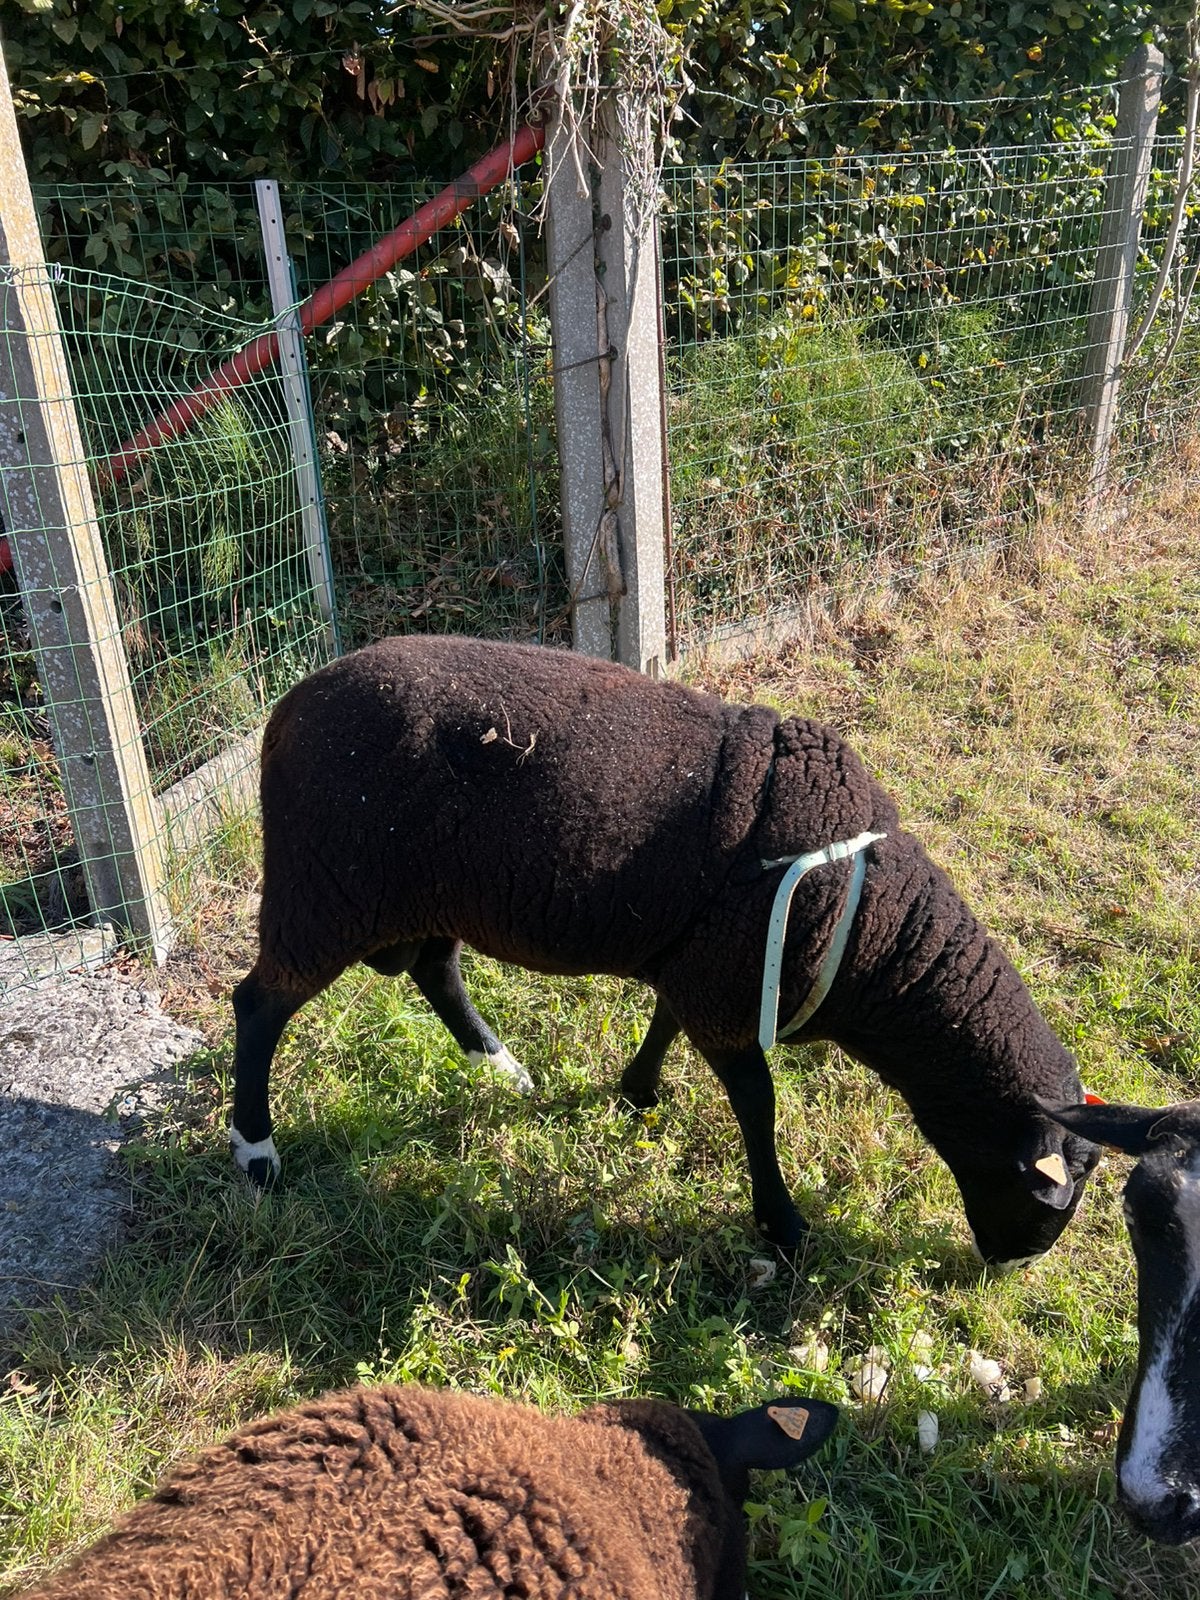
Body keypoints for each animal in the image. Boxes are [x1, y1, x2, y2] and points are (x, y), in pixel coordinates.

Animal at [231, 635, 1100, 1264]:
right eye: (1043, 1193)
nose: (1011, 1266)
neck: (870, 928)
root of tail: (285, 711)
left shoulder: (707, 961)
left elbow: (666, 1023)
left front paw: (637, 1092)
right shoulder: (729, 980)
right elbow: (757, 1105)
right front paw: (783, 1225)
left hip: (426, 891)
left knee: (434, 970)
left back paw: (502, 1068)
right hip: (326, 890)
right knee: (260, 1005)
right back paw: (255, 1150)